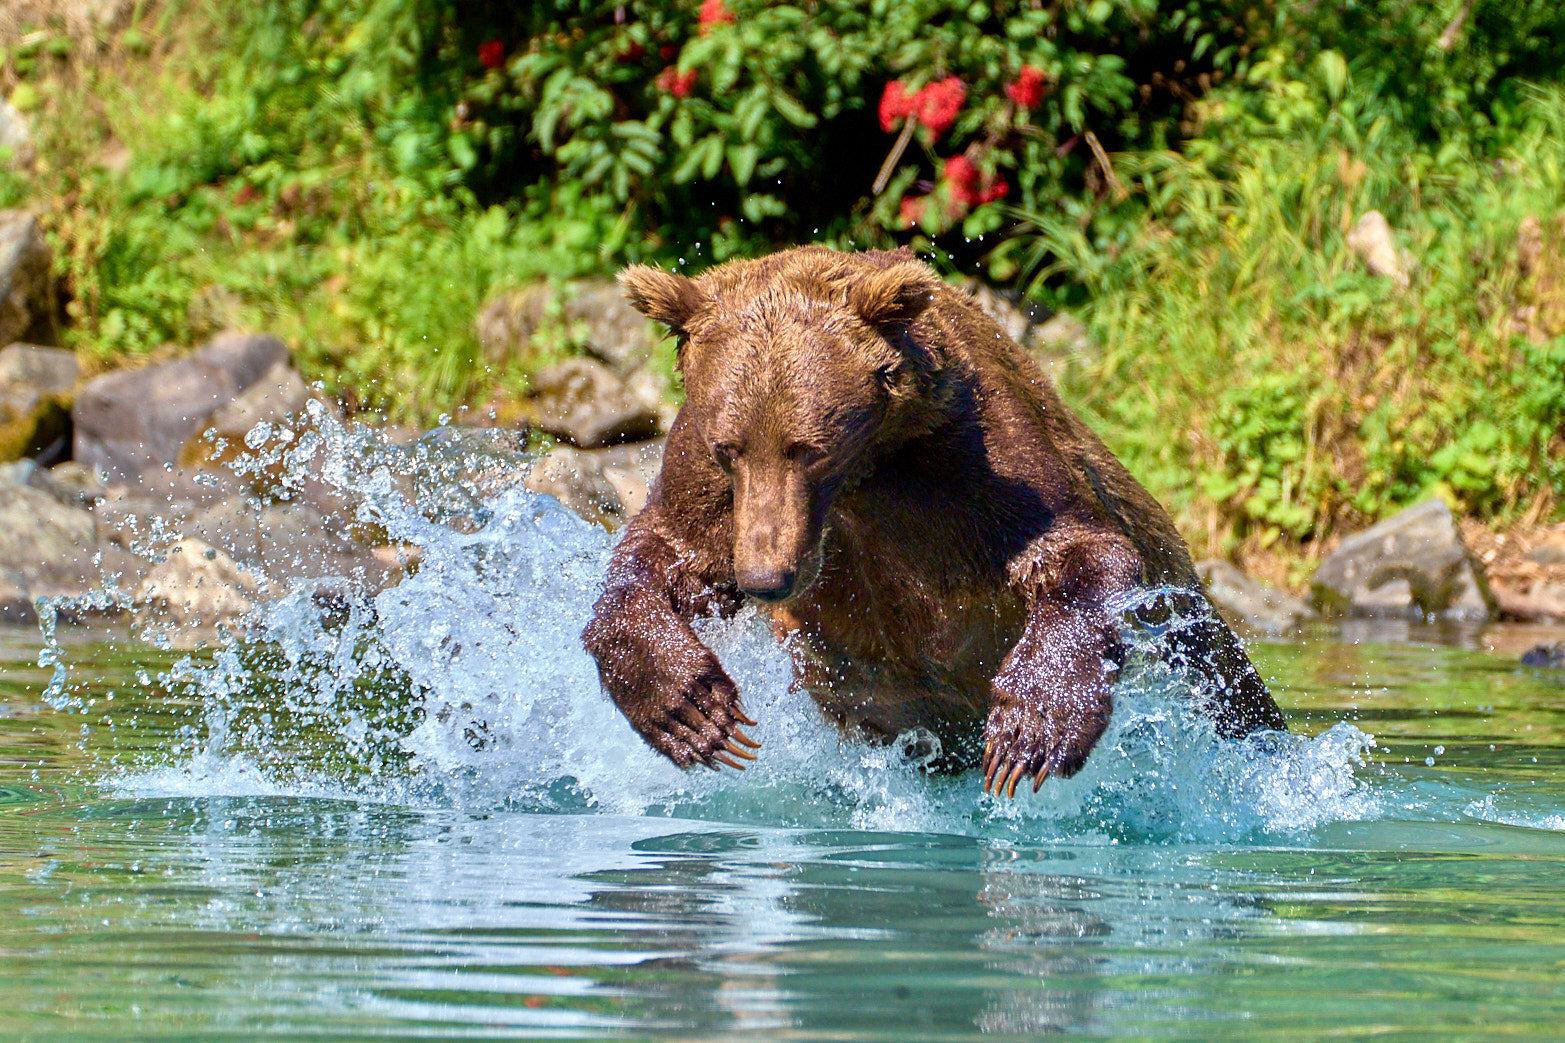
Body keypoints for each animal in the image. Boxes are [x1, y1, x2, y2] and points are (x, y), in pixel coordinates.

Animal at [582, 245, 1286, 798]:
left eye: (808, 447)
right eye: (731, 447)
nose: (765, 577)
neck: (869, 468)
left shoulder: (971, 457)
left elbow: (1075, 550)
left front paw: (1030, 728)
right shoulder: (706, 471)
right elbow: (668, 555)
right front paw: (693, 713)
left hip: (1180, 613)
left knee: (1224, 685)